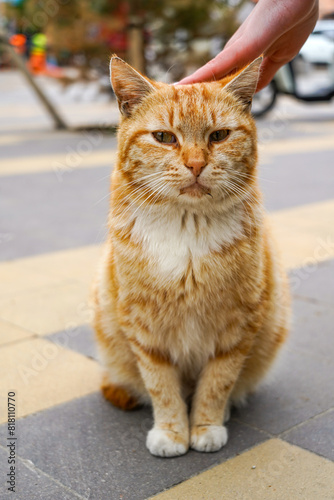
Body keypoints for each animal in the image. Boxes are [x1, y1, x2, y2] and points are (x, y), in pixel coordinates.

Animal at [93, 55, 290, 458]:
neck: (187, 228)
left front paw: (205, 425)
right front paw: (171, 432)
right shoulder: (144, 330)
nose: (196, 164)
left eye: (219, 136)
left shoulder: (237, 327)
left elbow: (217, 382)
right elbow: (161, 387)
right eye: (165, 138)